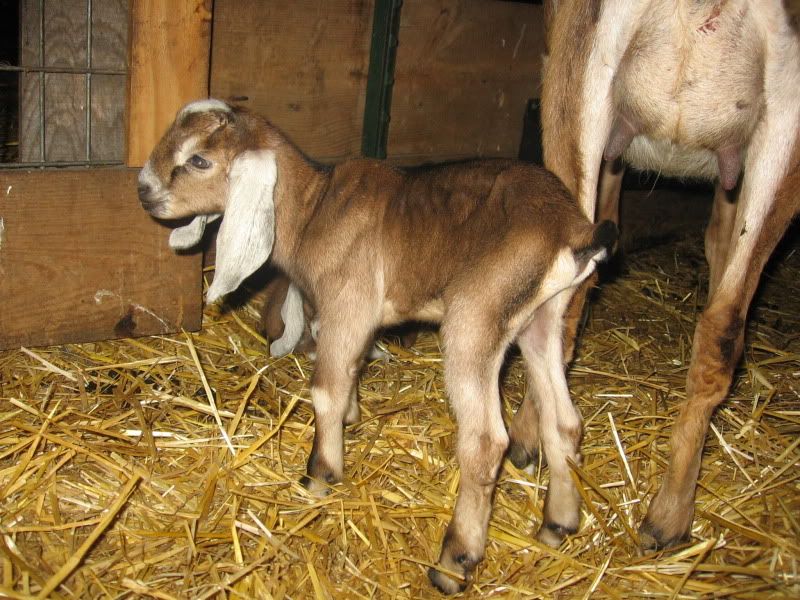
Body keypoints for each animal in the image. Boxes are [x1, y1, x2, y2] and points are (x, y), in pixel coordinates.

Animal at [137, 99, 617, 593]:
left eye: (198, 160)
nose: (144, 192)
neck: (313, 210)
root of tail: (571, 231)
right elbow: (348, 374)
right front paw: (352, 417)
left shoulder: (347, 305)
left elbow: (326, 389)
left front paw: (321, 475)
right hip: (545, 319)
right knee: (564, 422)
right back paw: (557, 525)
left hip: (477, 316)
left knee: (485, 441)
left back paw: (454, 562)